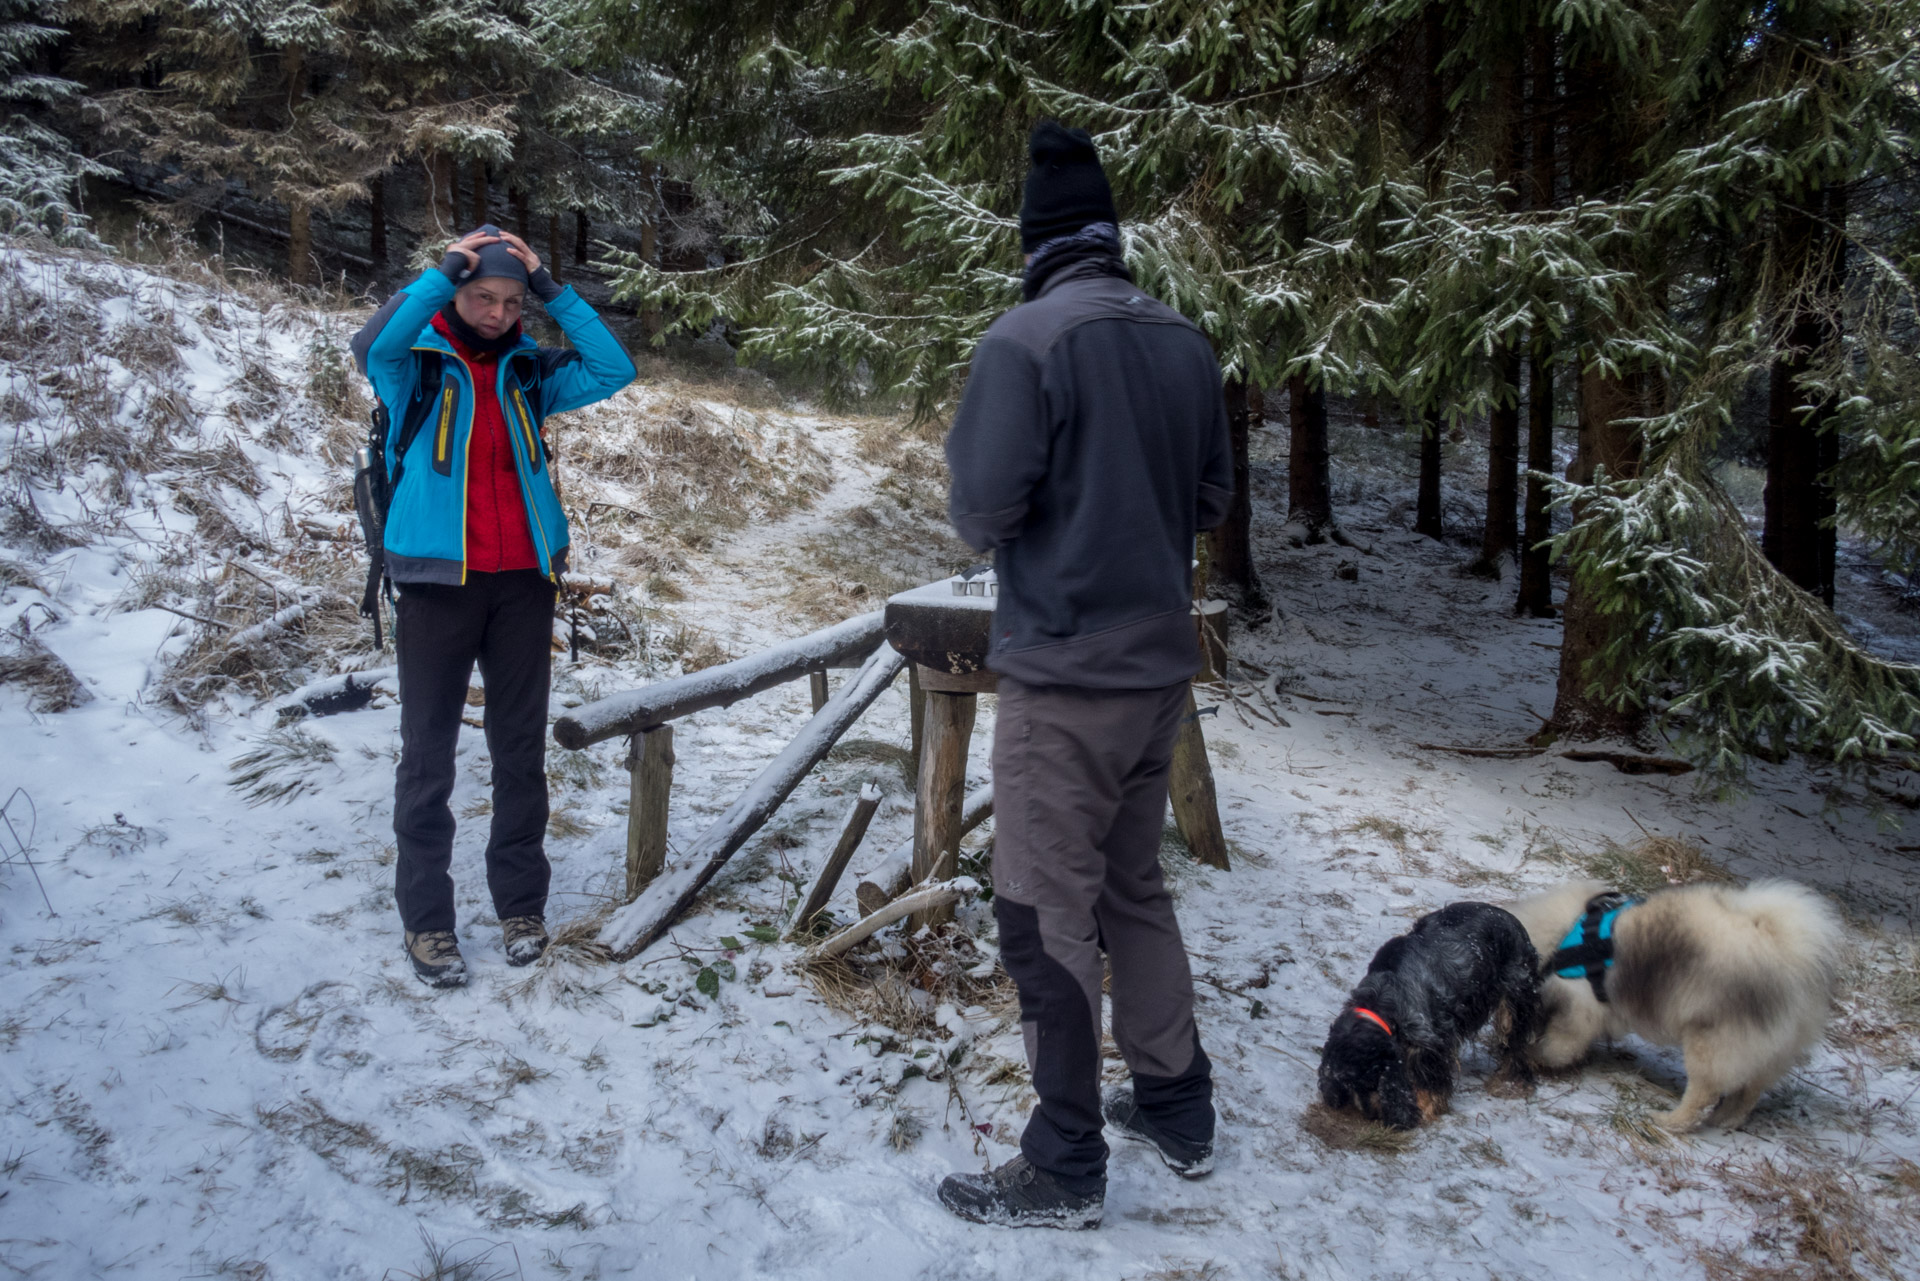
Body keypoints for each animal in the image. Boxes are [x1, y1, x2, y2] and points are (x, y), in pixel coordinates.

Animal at [1320, 902, 1543, 1129]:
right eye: (1348, 1084)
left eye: (1372, 1082)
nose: (1369, 1115)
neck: (1381, 995)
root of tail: (1514, 921)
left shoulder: (1428, 1040)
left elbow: (1429, 1082)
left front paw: (1424, 1110)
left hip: (1515, 997)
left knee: (1516, 1043)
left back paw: (1511, 1082)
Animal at [1497, 883, 1843, 1129]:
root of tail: (1792, 961)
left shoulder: (1578, 1009)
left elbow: (1559, 1045)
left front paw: (1535, 1055)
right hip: (1765, 1054)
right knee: (1747, 1094)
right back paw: (1725, 1121)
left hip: (1712, 1043)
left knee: (1703, 1096)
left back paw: (1669, 1121)